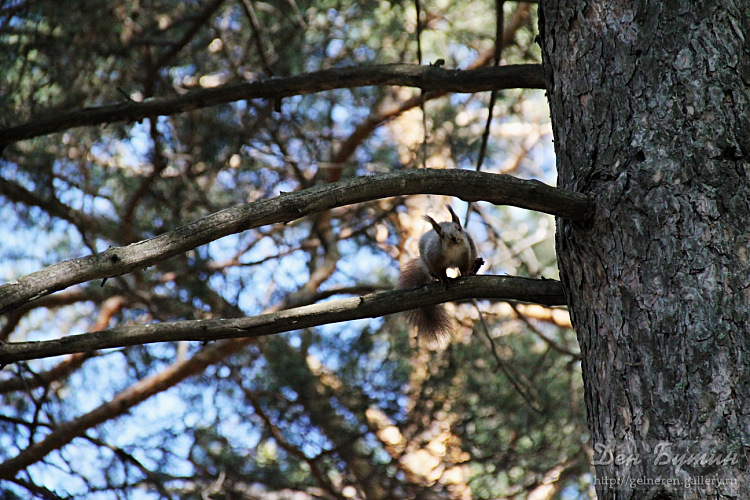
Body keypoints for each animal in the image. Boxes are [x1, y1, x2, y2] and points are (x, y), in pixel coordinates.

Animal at [400, 205, 488, 342]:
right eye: (442, 235)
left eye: (459, 228)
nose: (454, 238)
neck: (453, 250)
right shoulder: (434, 258)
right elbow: (440, 271)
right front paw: (444, 279)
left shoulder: (465, 254)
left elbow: (464, 267)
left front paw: (466, 272)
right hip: (426, 261)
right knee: (431, 272)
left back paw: (475, 267)